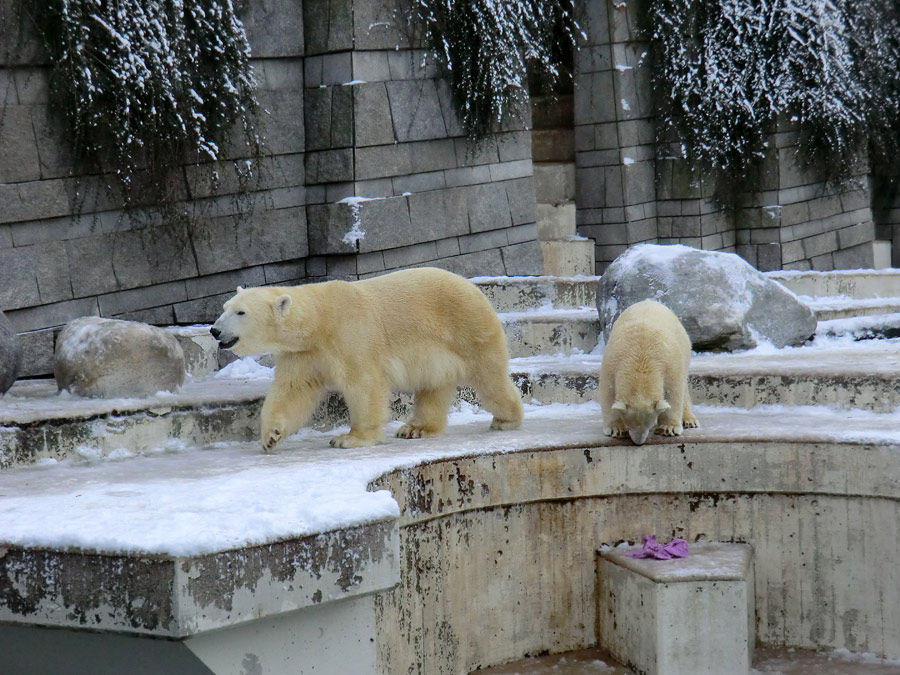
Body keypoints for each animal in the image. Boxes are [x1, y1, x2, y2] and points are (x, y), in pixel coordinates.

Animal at [210, 266, 520, 452]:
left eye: (241, 312)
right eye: (225, 307)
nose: (214, 330)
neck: (318, 320)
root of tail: (475, 288)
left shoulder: (350, 334)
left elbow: (363, 383)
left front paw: (349, 438)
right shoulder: (302, 354)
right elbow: (292, 390)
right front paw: (270, 436)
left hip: (467, 329)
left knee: (489, 376)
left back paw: (506, 419)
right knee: (433, 387)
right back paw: (416, 428)